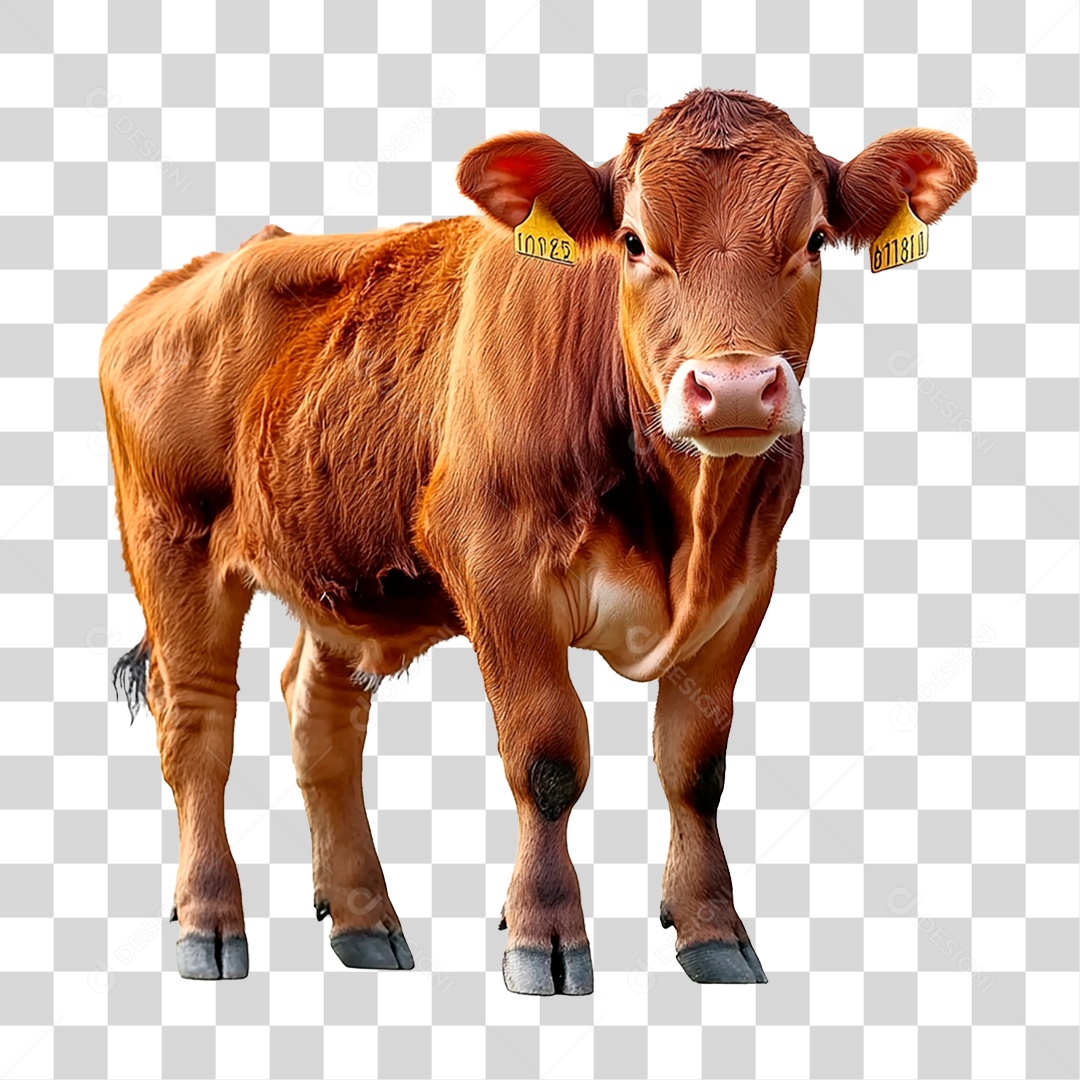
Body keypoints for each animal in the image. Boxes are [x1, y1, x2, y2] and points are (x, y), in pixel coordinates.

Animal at [100, 89, 976, 994]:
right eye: (633, 241)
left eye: (813, 240)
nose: (733, 388)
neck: (682, 526)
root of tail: (184, 279)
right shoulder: (497, 571)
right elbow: (548, 755)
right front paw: (545, 934)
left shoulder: (744, 589)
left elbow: (695, 766)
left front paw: (712, 932)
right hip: (173, 550)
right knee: (197, 727)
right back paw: (209, 923)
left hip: (338, 569)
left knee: (322, 721)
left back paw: (365, 921)